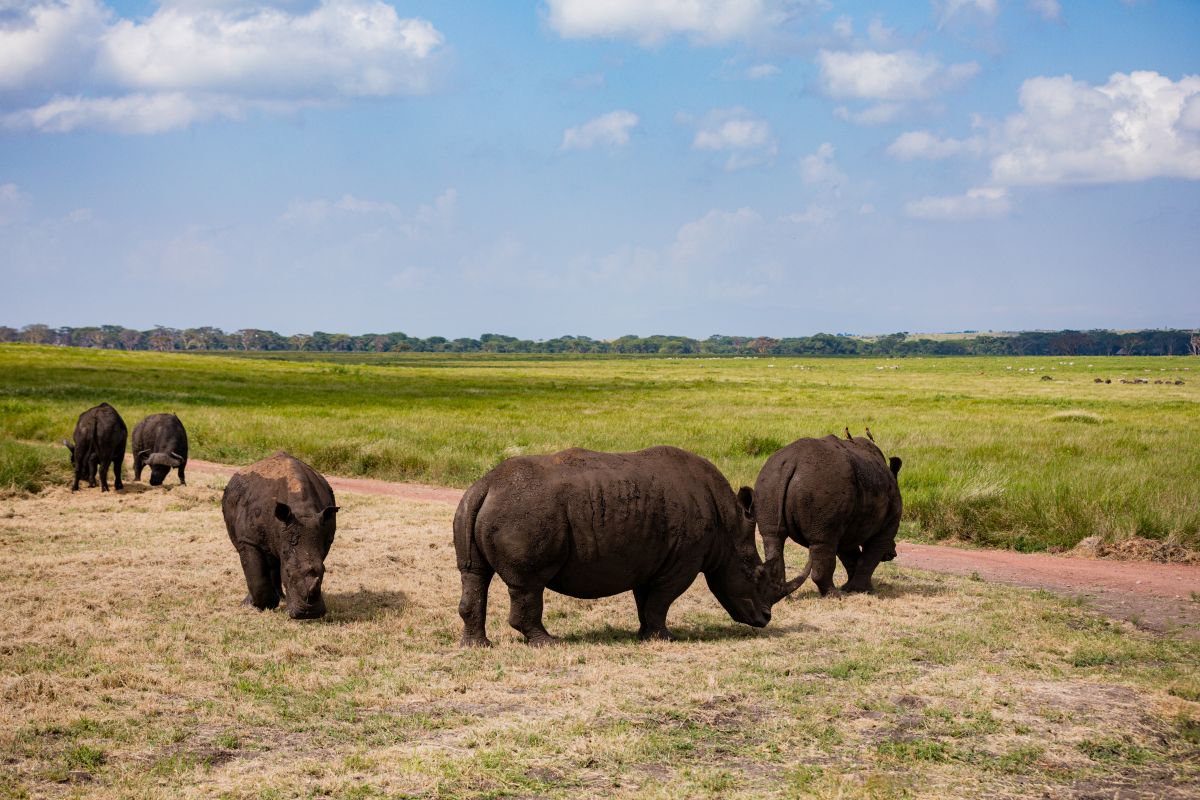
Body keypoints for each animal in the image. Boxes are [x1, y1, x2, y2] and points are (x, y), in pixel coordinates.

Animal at [222, 452, 339, 620]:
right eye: (288, 574)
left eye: (324, 572)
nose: (308, 614)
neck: (303, 512)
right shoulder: (249, 540)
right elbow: (256, 576)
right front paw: (263, 605)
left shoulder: (325, 538)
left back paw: (281, 598)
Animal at [453, 446, 806, 647]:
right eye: (755, 574)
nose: (765, 619)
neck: (727, 527)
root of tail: (486, 486)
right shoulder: (681, 563)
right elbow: (661, 601)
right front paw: (666, 639)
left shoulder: (649, 557)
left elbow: (645, 601)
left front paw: (645, 635)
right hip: (523, 512)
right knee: (528, 584)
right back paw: (549, 643)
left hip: (476, 505)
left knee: (475, 575)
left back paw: (477, 646)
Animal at [754, 430, 902, 597]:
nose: (893, 554)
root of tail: (792, 461)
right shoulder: (888, 523)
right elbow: (870, 556)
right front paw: (865, 590)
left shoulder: (850, 525)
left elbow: (850, 556)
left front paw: (850, 588)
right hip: (822, 483)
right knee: (823, 542)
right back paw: (835, 595)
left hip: (770, 479)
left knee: (772, 536)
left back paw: (781, 594)